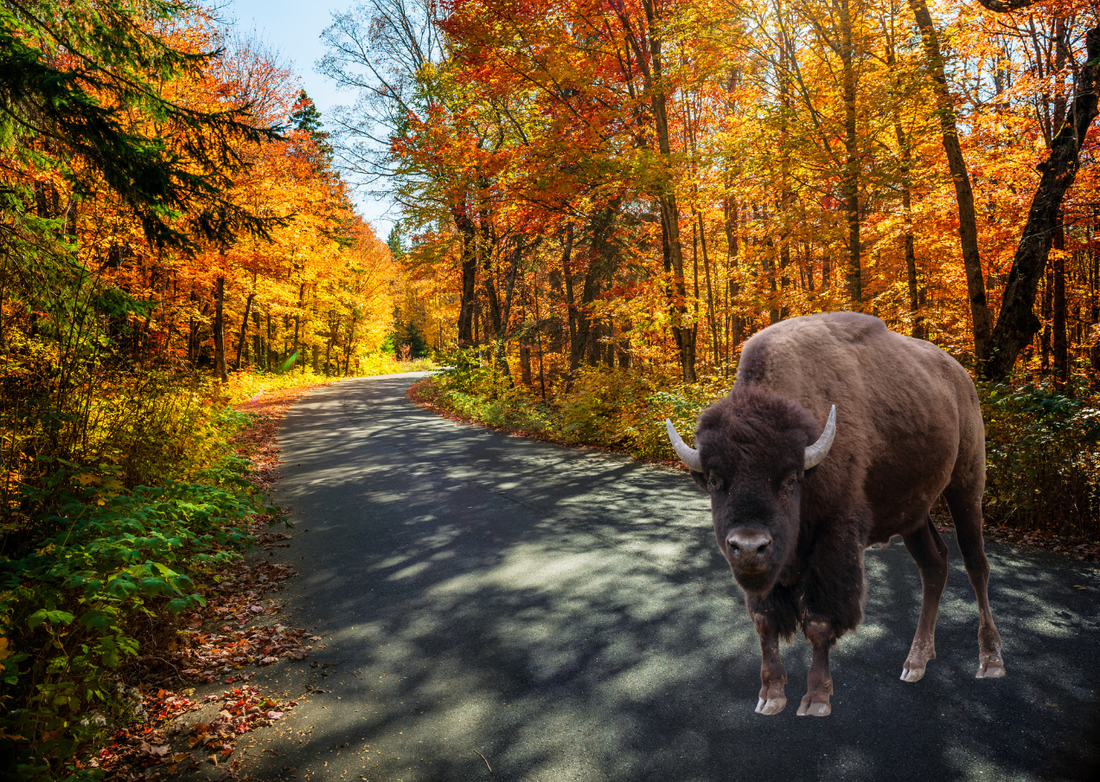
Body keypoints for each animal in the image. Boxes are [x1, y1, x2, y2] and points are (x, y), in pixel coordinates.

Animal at [666, 312, 1005, 717]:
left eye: (790, 478)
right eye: (716, 480)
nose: (748, 546)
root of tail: (962, 378)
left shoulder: (833, 542)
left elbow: (820, 622)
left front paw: (816, 699)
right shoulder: (769, 573)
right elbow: (765, 621)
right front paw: (771, 696)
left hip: (967, 484)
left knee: (976, 564)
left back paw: (990, 661)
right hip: (914, 513)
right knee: (934, 565)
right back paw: (916, 662)